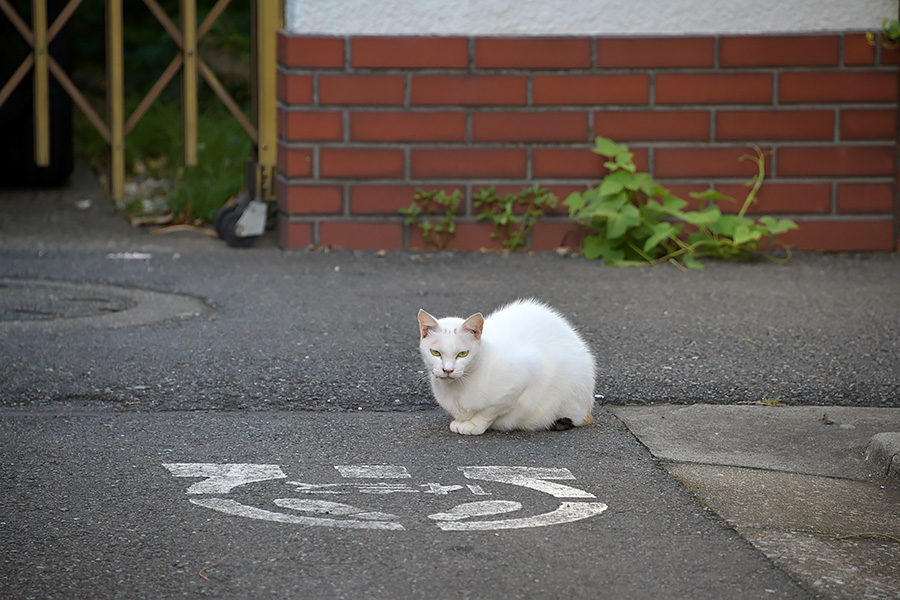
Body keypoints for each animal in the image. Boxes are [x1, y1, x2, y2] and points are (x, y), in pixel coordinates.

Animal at [416, 300, 596, 436]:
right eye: (435, 352)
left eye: (462, 354)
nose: (448, 370)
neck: (457, 389)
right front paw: (461, 421)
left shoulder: (525, 374)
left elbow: (488, 412)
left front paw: (474, 424)